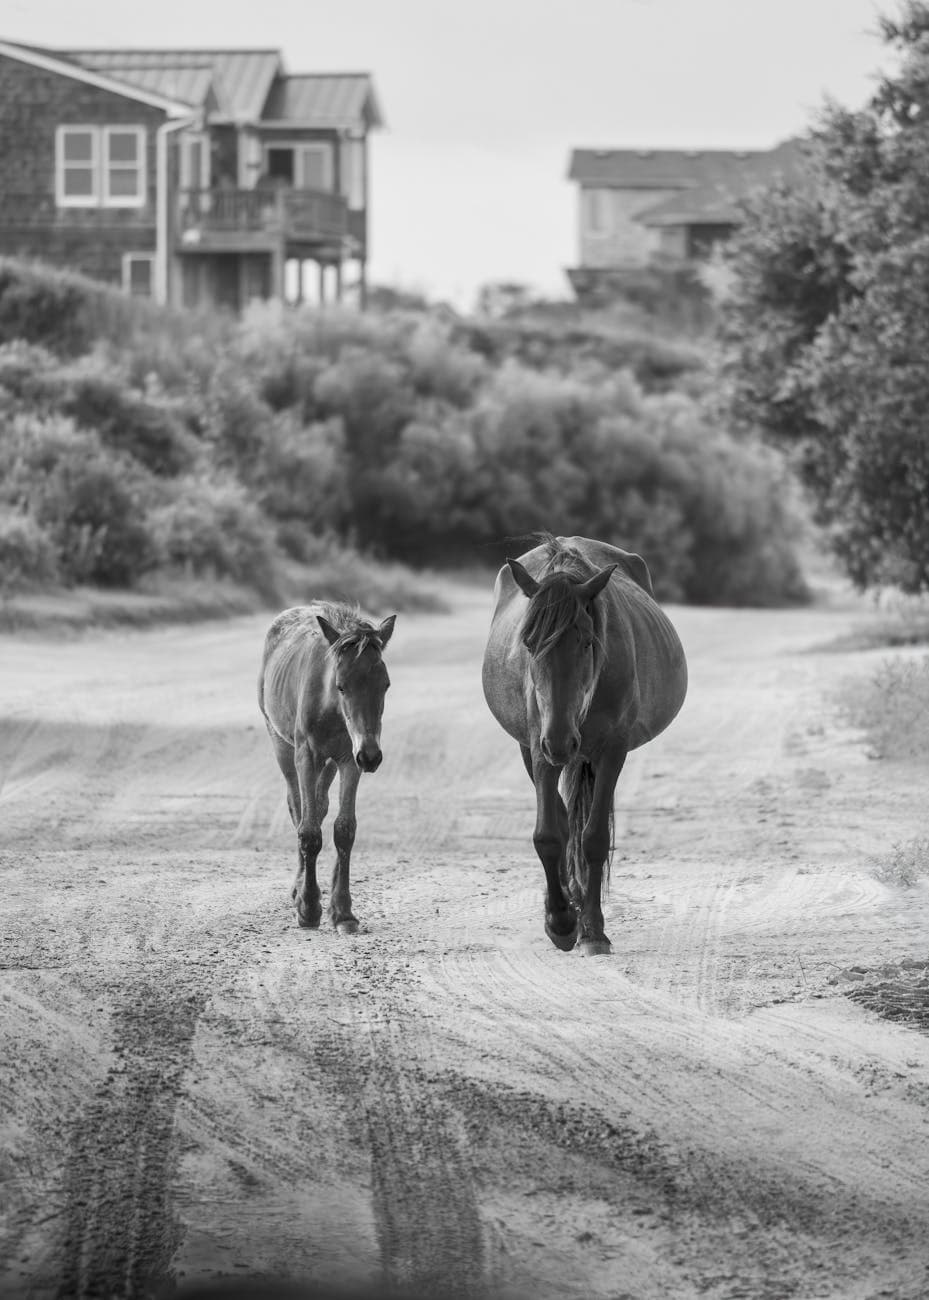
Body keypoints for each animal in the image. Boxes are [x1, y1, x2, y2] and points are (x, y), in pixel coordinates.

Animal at [258, 602, 396, 931]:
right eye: (341, 686)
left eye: (385, 685)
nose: (372, 757)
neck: (329, 706)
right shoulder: (306, 756)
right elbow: (308, 830)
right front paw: (308, 909)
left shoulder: (349, 759)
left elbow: (344, 829)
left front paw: (342, 911)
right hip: (281, 746)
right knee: (298, 808)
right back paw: (298, 890)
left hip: (331, 763)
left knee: (319, 806)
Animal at [481, 535, 687, 956]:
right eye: (528, 642)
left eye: (588, 642)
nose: (562, 740)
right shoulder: (538, 746)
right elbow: (549, 834)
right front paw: (560, 922)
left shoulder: (611, 750)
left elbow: (593, 838)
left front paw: (592, 929)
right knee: (562, 821)